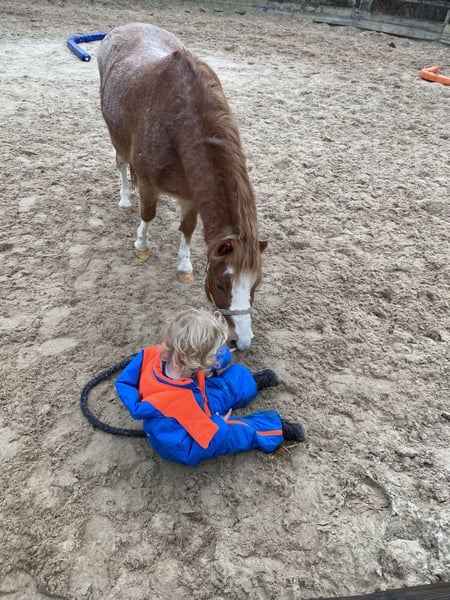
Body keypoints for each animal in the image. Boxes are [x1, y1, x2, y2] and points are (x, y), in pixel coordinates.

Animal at [97, 23, 267, 351]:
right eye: (221, 284)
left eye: (256, 284)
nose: (242, 342)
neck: (179, 124)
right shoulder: (148, 183)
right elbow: (147, 214)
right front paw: (141, 246)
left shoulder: (191, 195)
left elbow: (187, 229)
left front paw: (185, 267)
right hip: (116, 135)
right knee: (121, 164)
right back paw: (125, 200)